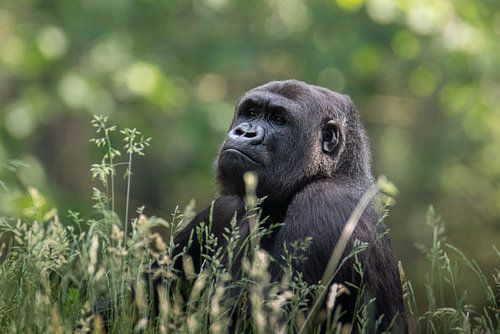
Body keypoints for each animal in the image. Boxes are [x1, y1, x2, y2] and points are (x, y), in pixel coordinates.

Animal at [172, 79, 406, 332]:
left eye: (278, 119)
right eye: (251, 112)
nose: (245, 132)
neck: (338, 172)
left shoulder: (322, 202)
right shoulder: (224, 208)